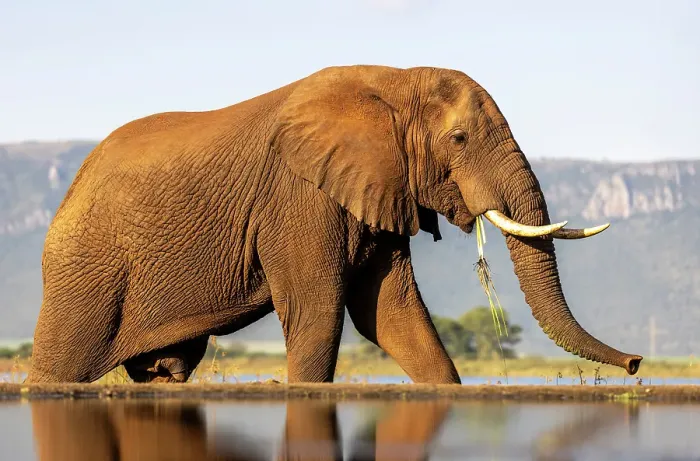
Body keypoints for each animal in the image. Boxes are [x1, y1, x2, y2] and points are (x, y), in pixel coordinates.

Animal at [27, 64, 642, 384]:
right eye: (459, 138)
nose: (636, 363)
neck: (393, 81)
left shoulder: (378, 191)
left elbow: (391, 315)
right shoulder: (298, 199)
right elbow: (319, 313)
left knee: (167, 372)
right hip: (86, 270)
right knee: (61, 369)